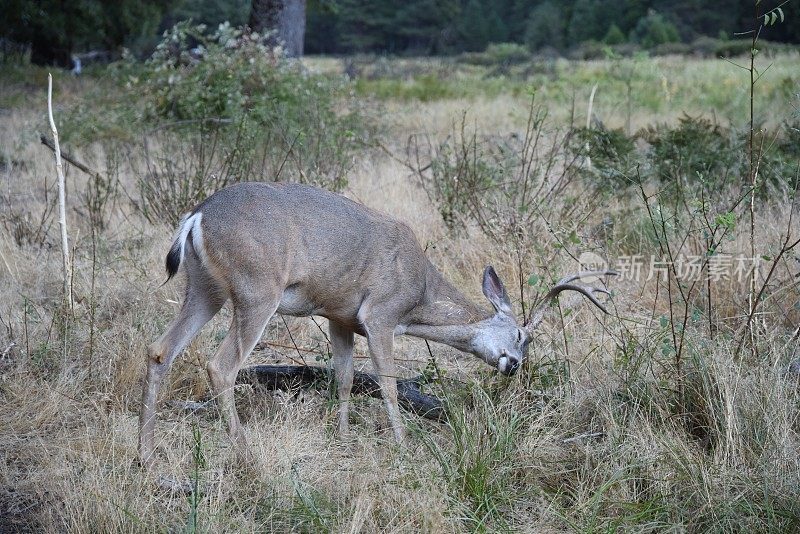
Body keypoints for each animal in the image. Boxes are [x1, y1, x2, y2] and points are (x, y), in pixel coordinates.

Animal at [139, 183, 612, 468]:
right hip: (257, 290)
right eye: (520, 335)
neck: (418, 295)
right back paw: (246, 453)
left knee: (160, 349)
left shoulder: (339, 317)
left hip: (205, 289)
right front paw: (403, 443)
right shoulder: (380, 315)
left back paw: (146, 453)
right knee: (220, 366)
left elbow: (345, 377)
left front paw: (343, 436)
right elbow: (387, 382)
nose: (513, 365)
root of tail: (197, 216)